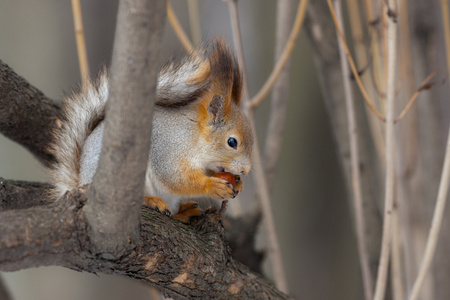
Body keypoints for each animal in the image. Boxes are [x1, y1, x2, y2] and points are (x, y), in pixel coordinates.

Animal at [50, 39, 253, 223]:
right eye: (232, 142)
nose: (246, 170)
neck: (193, 136)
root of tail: (79, 183)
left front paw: (239, 184)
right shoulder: (167, 151)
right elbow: (175, 178)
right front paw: (212, 186)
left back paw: (183, 212)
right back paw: (151, 201)